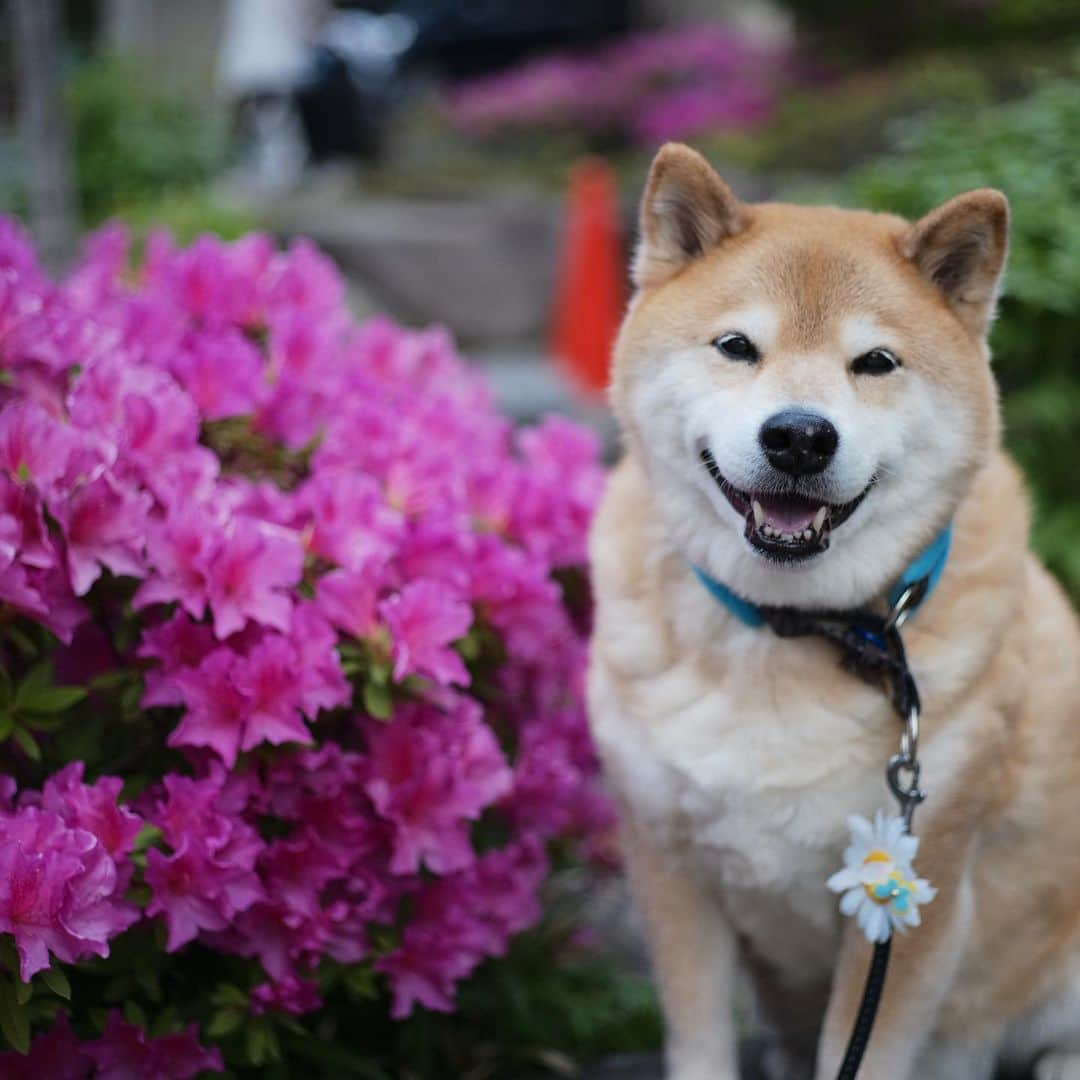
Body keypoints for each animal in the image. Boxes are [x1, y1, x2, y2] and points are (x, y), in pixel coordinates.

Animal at [587, 145, 1080, 1080]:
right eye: (737, 347)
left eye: (876, 363)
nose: (799, 437)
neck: (788, 631)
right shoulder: (670, 867)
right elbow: (701, 1042)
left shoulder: (913, 897)